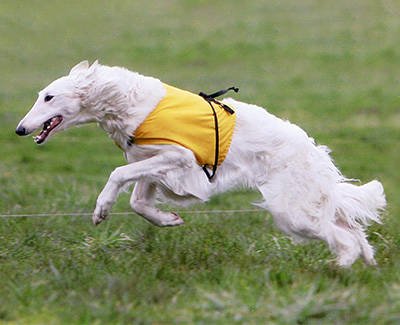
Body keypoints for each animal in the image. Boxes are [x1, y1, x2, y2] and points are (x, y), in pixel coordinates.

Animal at [14, 60, 384, 266]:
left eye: (49, 97)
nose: (19, 129)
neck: (127, 102)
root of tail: (313, 151)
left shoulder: (178, 157)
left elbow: (118, 174)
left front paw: (102, 208)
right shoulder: (150, 161)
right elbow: (137, 203)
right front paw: (167, 219)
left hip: (291, 211)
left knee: (344, 238)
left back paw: (339, 268)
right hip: (305, 205)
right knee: (354, 232)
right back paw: (367, 264)